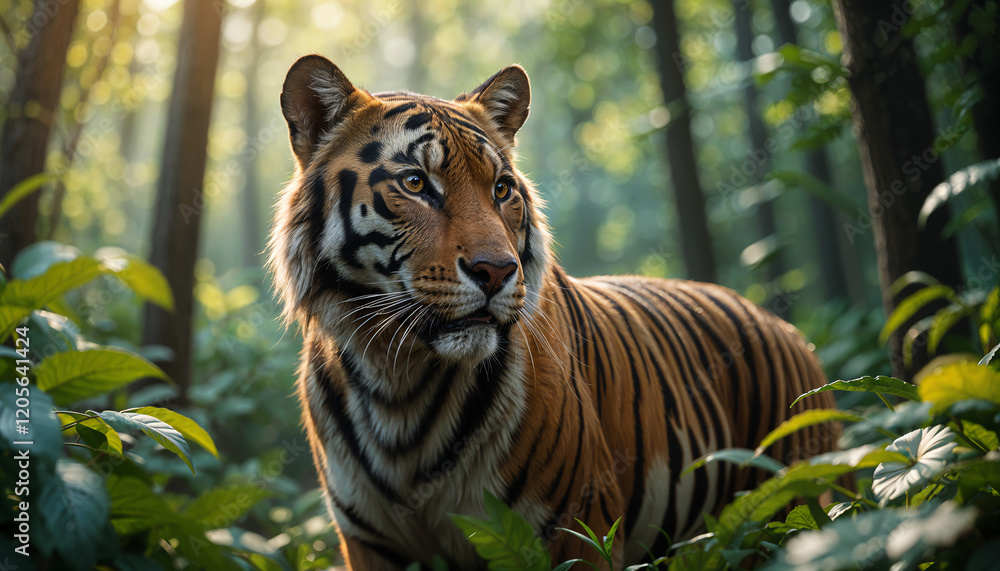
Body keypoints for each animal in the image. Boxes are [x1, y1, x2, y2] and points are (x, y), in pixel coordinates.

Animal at [267, 54, 837, 570]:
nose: (497, 271)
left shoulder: (576, 530)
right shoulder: (368, 545)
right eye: (414, 183)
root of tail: (789, 330)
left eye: (501, 189)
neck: (399, 378)